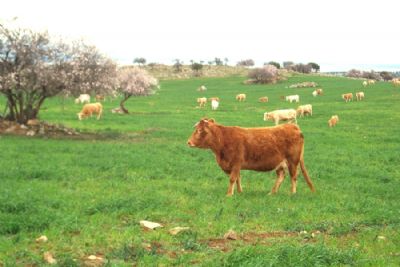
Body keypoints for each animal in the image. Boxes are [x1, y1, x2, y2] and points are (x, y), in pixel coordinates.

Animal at [188, 119, 316, 197]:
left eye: (199, 130)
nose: (188, 142)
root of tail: (293, 126)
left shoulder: (236, 163)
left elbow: (232, 179)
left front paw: (229, 194)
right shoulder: (234, 166)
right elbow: (238, 178)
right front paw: (239, 192)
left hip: (293, 161)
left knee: (293, 176)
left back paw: (292, 193)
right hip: (280, 163)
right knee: (281, 176)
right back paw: (272, 192)